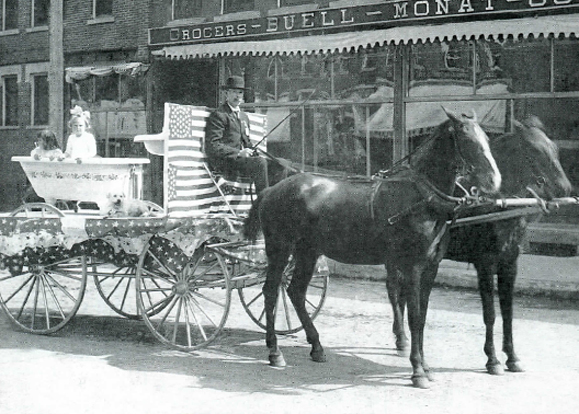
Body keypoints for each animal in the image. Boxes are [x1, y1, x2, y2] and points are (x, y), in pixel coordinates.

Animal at [245, 107, 502, 388]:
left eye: (487, 139)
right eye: (466, 138)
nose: (494, 182)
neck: (420, 197)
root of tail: (272, 189)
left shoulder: (430, 268)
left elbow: (422, 317)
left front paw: (425, 366)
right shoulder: (412, 267)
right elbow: (413, 317)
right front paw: (417, 370)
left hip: (308, 252)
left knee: (296, 292)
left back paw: (316, 346)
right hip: (280, 249)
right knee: (271, 292)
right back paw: (274, 351)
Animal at [390, 115, 576, 376]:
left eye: (555, 148)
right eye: (534, 151)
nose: (565, 188)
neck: (498, 203)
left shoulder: (510, 263)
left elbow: (508, 312)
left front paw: (512, 357)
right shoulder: (485, 264)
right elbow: (490, 314)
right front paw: (493, 359)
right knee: (394, 291)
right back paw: (401, 338)